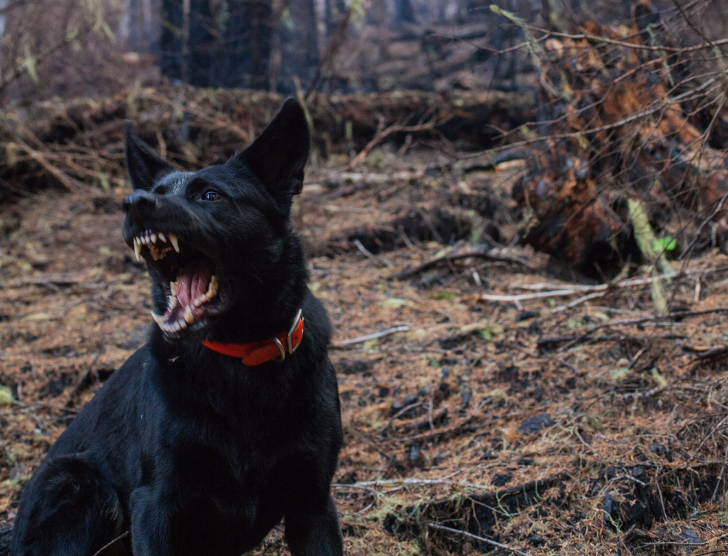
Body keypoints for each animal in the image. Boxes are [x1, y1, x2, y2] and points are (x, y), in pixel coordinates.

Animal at [9, 99, 344, 556]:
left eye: (210, 195)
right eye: (157, 191)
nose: (134, 201)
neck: (240, 359)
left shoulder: (313, 503)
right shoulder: (157, 502)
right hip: (83, 486)